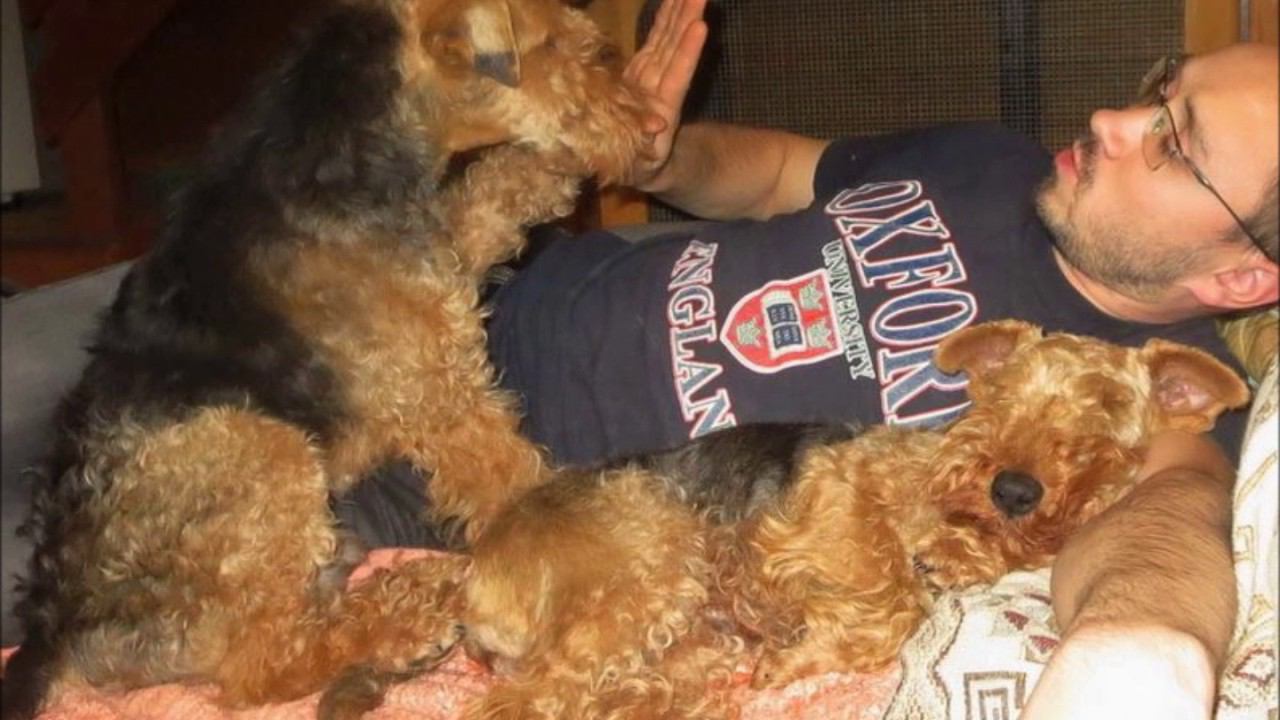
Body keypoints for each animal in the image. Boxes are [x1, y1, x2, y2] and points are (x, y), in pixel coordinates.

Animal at [1, 1, 644, 717]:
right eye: (555, 44)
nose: (644, 124)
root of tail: (56, 629)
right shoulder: (437, 380)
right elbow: (508, 480)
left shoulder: (442, 263)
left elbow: (488, 194)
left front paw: (546, 175)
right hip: (263, 447)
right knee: (261, 666)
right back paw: (415, 610)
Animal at [457, 320, 1248, 718]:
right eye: (1001, 391)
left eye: (1108, 406)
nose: (1014, 488)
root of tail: (477, 583)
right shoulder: (838, 494)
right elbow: (893, 596)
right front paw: (798, 655)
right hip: (656, 549)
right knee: (519, 703)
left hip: (680, 630)